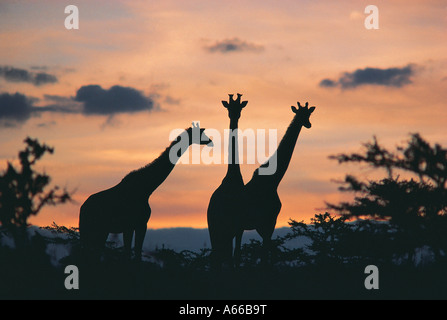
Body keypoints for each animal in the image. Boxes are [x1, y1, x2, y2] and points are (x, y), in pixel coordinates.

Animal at [79, 122, 214, 260]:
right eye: (201, 133)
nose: (211, 141)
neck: (146, 189)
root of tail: (82, 208)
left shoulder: (136, 225)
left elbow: (134, 253)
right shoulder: (136, 225)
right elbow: (132, 254)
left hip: (99, 231)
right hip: (92, 229)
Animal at [233, 101, 316, 264]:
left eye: (309, 114)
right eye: (300, 114)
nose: (308, 124)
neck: (273, 181)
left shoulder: (269, 223)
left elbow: (269, 254)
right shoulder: (266, 222)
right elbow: (266, 255)